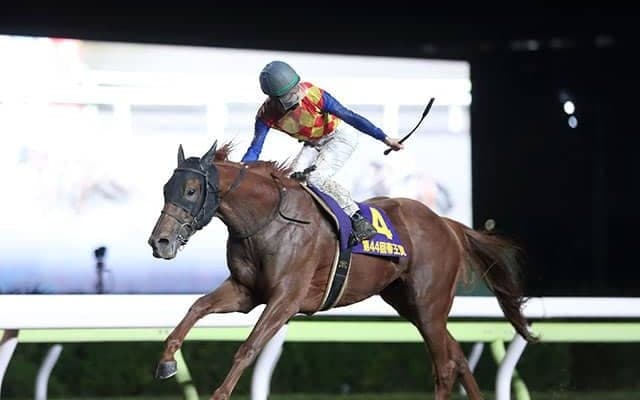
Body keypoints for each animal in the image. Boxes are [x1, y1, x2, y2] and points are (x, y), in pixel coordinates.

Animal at [147, 139, 537, 400]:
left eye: (191, 190)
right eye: (166, 188)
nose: (159, 242)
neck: (268, 219)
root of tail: (446, 224)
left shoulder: (286, 299)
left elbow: (249, 346)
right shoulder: (245, 292)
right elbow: (197, 307)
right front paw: (166, 362)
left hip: (430, 303)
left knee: (443, 366)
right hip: (411, 304)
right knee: (457, 357)